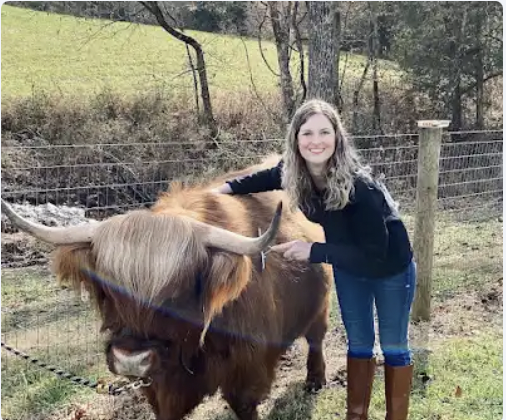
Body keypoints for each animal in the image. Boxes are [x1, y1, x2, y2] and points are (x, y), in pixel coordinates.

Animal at [1, 157, 332, 420]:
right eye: (106, 290)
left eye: (177, 293)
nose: (130, 359)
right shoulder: (161, 383)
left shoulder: (247, 369)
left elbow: (245, 405)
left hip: (322, 304)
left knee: (316, 338)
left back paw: (315, 380)